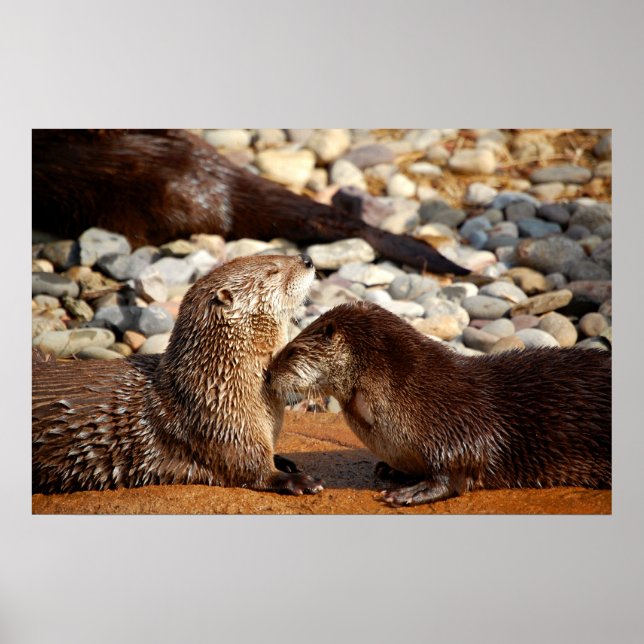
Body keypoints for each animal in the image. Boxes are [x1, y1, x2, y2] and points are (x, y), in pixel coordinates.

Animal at [32, 254, 324, 496]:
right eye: (273, 270)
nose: (308, 259)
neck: (216, 382)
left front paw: (284, 461)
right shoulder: (219, 423)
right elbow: (248, 468)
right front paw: (297, 480)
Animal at [267, 301, 611, 506]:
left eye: (291, 351)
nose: (267, 373)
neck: (411, 391)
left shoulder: (461, 422)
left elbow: (459, 469)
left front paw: (411, 492)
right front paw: (392, 470)